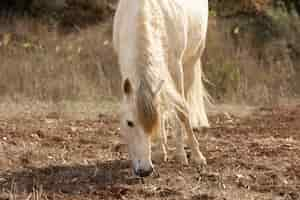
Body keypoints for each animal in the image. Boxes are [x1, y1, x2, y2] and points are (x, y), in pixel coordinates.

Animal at [113, 0, 210, 177]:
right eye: (129, 123)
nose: (145, 171)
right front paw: (160, 152)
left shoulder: (175, 67)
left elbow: (182, 111)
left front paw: (195, 156)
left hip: (191, 61)